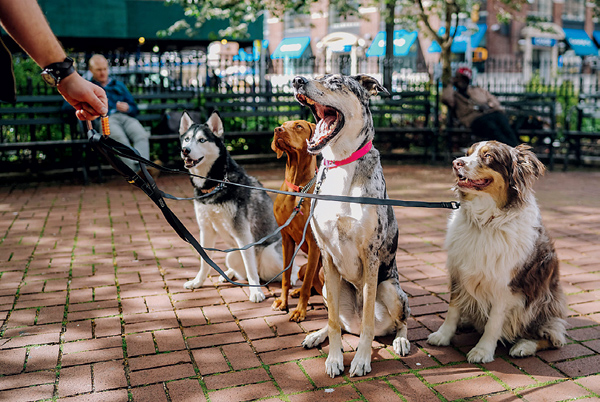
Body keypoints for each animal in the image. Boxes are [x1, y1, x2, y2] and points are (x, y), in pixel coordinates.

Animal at [179, 111, 298, 304]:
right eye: (187, 139)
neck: (216, 184)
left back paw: (291, 277)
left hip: (269, 254)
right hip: (231, 255)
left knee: (288, 267)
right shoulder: (206, 230)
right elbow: (205, 261)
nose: (185, 150)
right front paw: (198, 282)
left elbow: (250, 268)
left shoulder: (243, 233)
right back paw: (228, 274)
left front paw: (256, 292)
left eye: (202, 140)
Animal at [272, 118, 324, 320]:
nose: (277, 130)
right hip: (302, 268)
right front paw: (283, 302)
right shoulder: (286, 239)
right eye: (283, 124)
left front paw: (300, 311)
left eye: (298, 126)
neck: (297, 188)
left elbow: (307, 285)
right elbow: (286, 277)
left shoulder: (313, 243)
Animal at [292, 74, 410, 378]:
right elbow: (334, 322)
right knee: (341, 323)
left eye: (335, 81)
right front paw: (334, 359)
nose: (297, 80)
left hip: (391, 289)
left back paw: (401, 341)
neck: (341, 164)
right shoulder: (327, 255)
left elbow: (368, 322)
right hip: (325, 286)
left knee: (401, 321)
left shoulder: (370, 256)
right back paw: (317, 335)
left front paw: (361, 360)